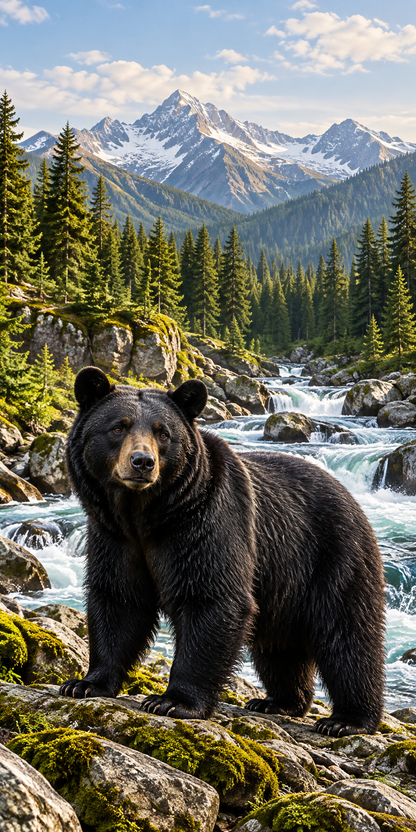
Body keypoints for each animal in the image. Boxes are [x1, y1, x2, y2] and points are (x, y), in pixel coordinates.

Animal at [60, 366, 385, 737]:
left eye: (163, 433)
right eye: (118, 426)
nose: (142, 462)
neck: (145, 514)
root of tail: (352, 498)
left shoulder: (206, 523)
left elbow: (212, 598)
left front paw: (173, 701)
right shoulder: (112, 535)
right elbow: (117, 598)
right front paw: (85, 683)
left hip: (335, 556)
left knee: (347, 637)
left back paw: (347, 719)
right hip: (284, 585)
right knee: (279, 647)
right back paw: (279, 701)